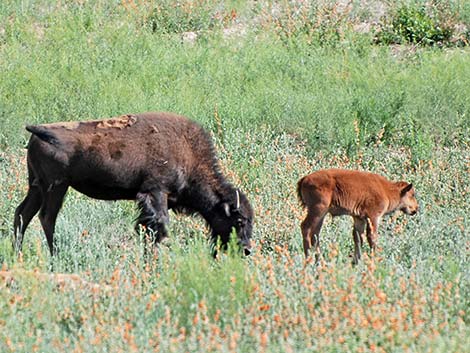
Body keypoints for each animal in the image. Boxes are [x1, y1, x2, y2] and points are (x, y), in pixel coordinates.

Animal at [12, 111, 253, 254]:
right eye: (239, 220)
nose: (246, 250)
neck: (187, 152)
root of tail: (38, 132)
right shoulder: (155, 192)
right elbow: (158, 227)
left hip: (36, 186)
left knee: (23, 213)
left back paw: (18, 253)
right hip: (56, 187)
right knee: (46, 217)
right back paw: (55, 254)